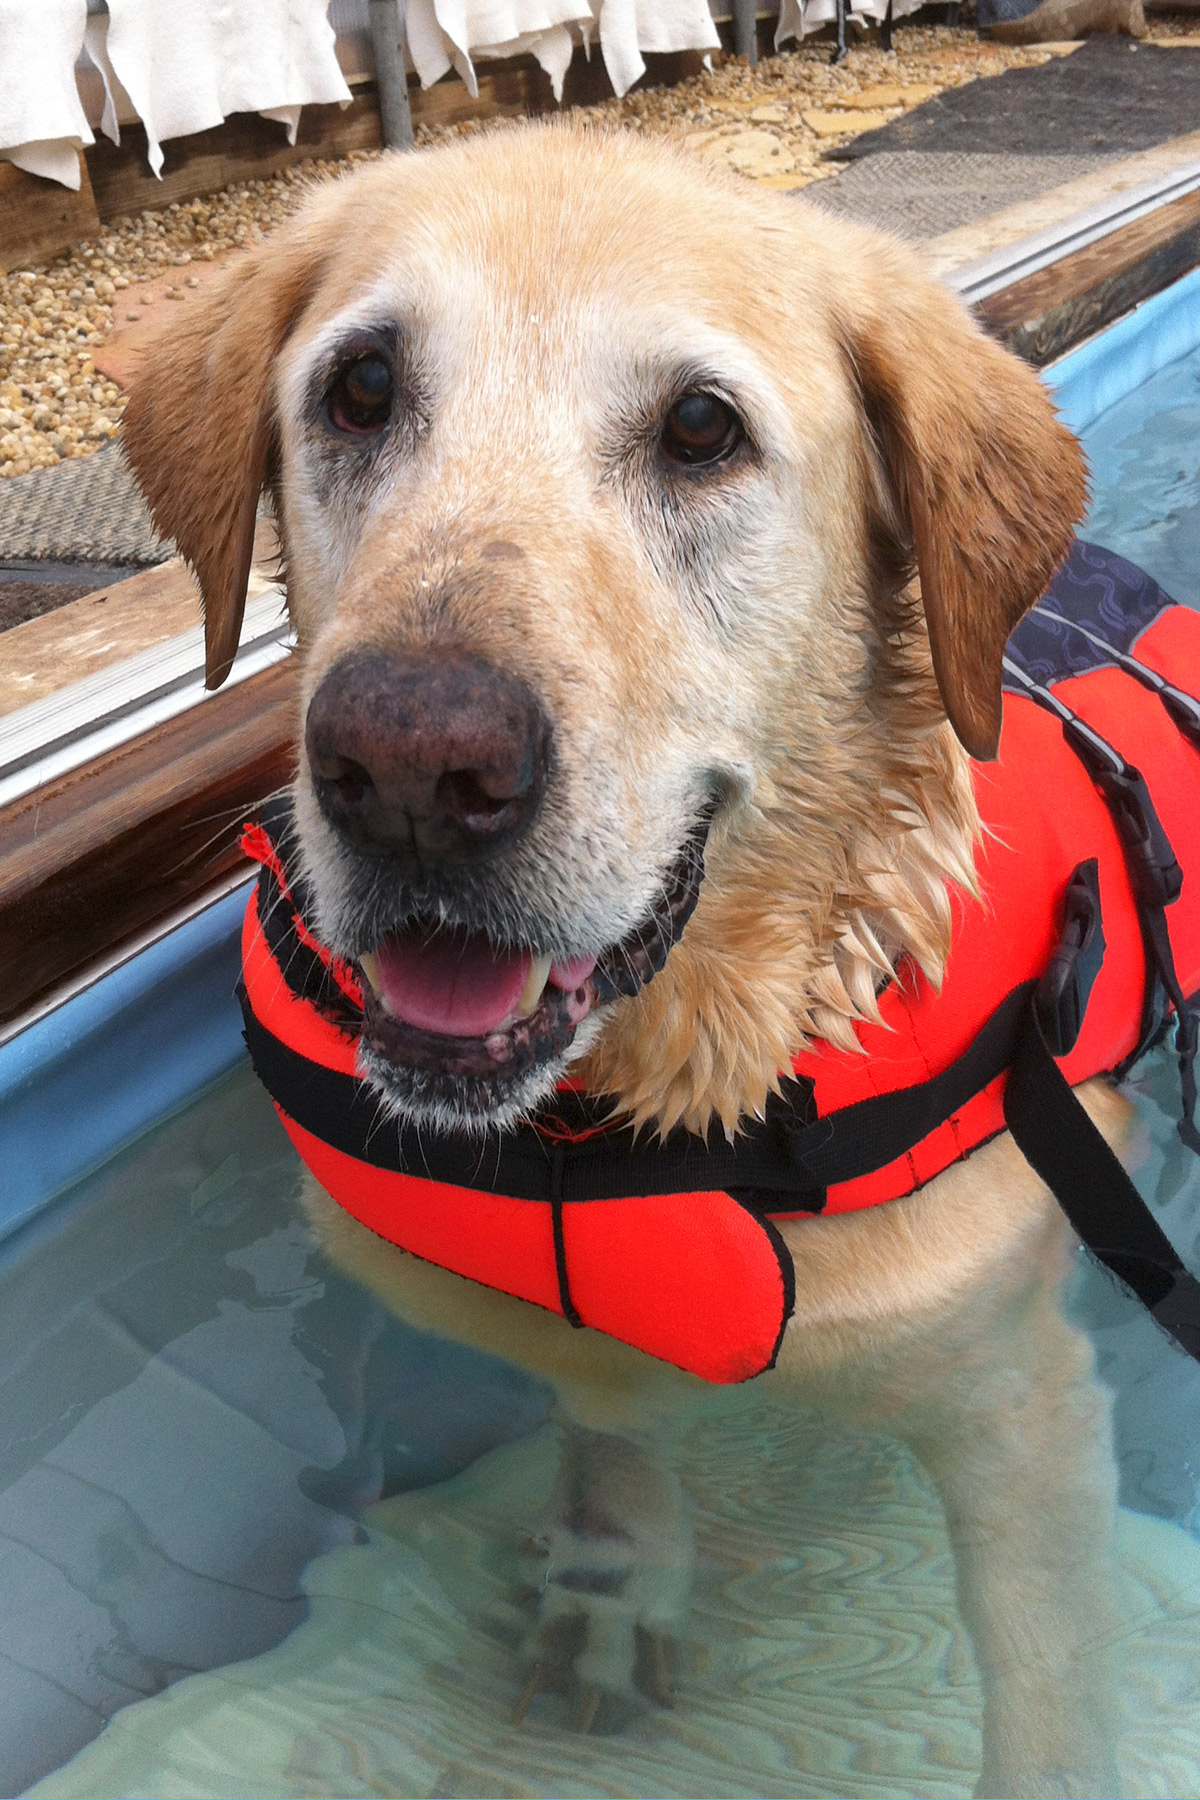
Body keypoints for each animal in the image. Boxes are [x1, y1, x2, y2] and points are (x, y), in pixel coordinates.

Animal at [116, 119, 1122, 1792]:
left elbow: (1048, 1711)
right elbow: (612, 1432)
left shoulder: (1014, 1400)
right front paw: (613, 1590)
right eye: (362, 389)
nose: (409, 769)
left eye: (702, 428)